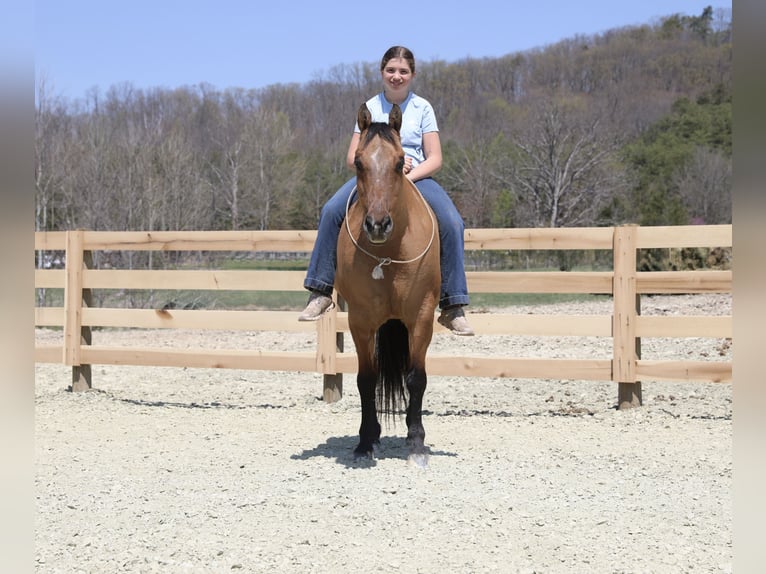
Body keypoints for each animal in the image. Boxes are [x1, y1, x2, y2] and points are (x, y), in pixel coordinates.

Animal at [335, 103, 441, 468]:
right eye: (358, 162)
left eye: (399, 162)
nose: (377, 225)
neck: (390, 254)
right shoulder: (360, 321)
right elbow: (366, 379)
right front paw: (365, 441)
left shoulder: (421, 317)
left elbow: (416, 377)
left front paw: (417, 444)